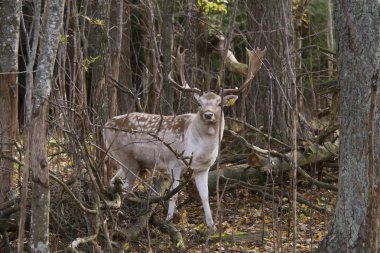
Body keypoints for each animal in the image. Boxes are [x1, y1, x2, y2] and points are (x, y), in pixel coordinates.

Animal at [102, 46, 266, 231]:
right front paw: (168, 219)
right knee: (124, 187)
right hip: (127, 159)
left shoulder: (203, 168)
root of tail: (105, 125)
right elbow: (174, 195)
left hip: (125, 160)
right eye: (199, 103)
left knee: (114, 181)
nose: (208, 114)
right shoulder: (173, 162)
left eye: (219, 103)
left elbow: (205, 195)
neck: (197, 147)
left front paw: (212, 226)